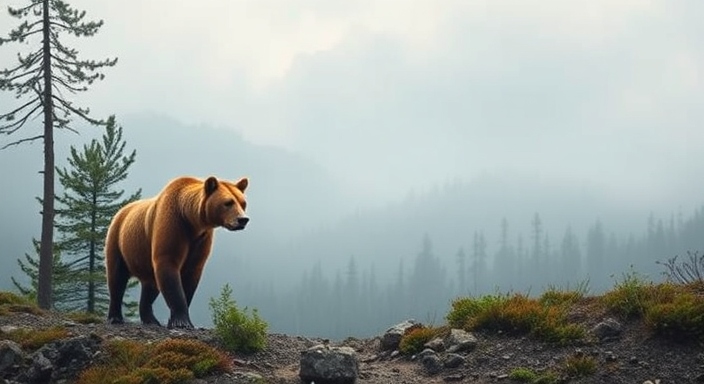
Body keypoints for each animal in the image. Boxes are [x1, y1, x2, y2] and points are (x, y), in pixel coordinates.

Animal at [103, 176, 249, 328]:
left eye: (243, 203)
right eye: (228, 203)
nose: (243, 219)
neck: (192, 222)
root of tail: (121, 210)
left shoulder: (201, 241)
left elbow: (191, 277)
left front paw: (177, 319)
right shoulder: (173, 225)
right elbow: (169, 267)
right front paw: (181, 321)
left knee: (150, 286)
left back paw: (151, 319)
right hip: (119, 240)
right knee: (117, 277)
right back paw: (115, 317)